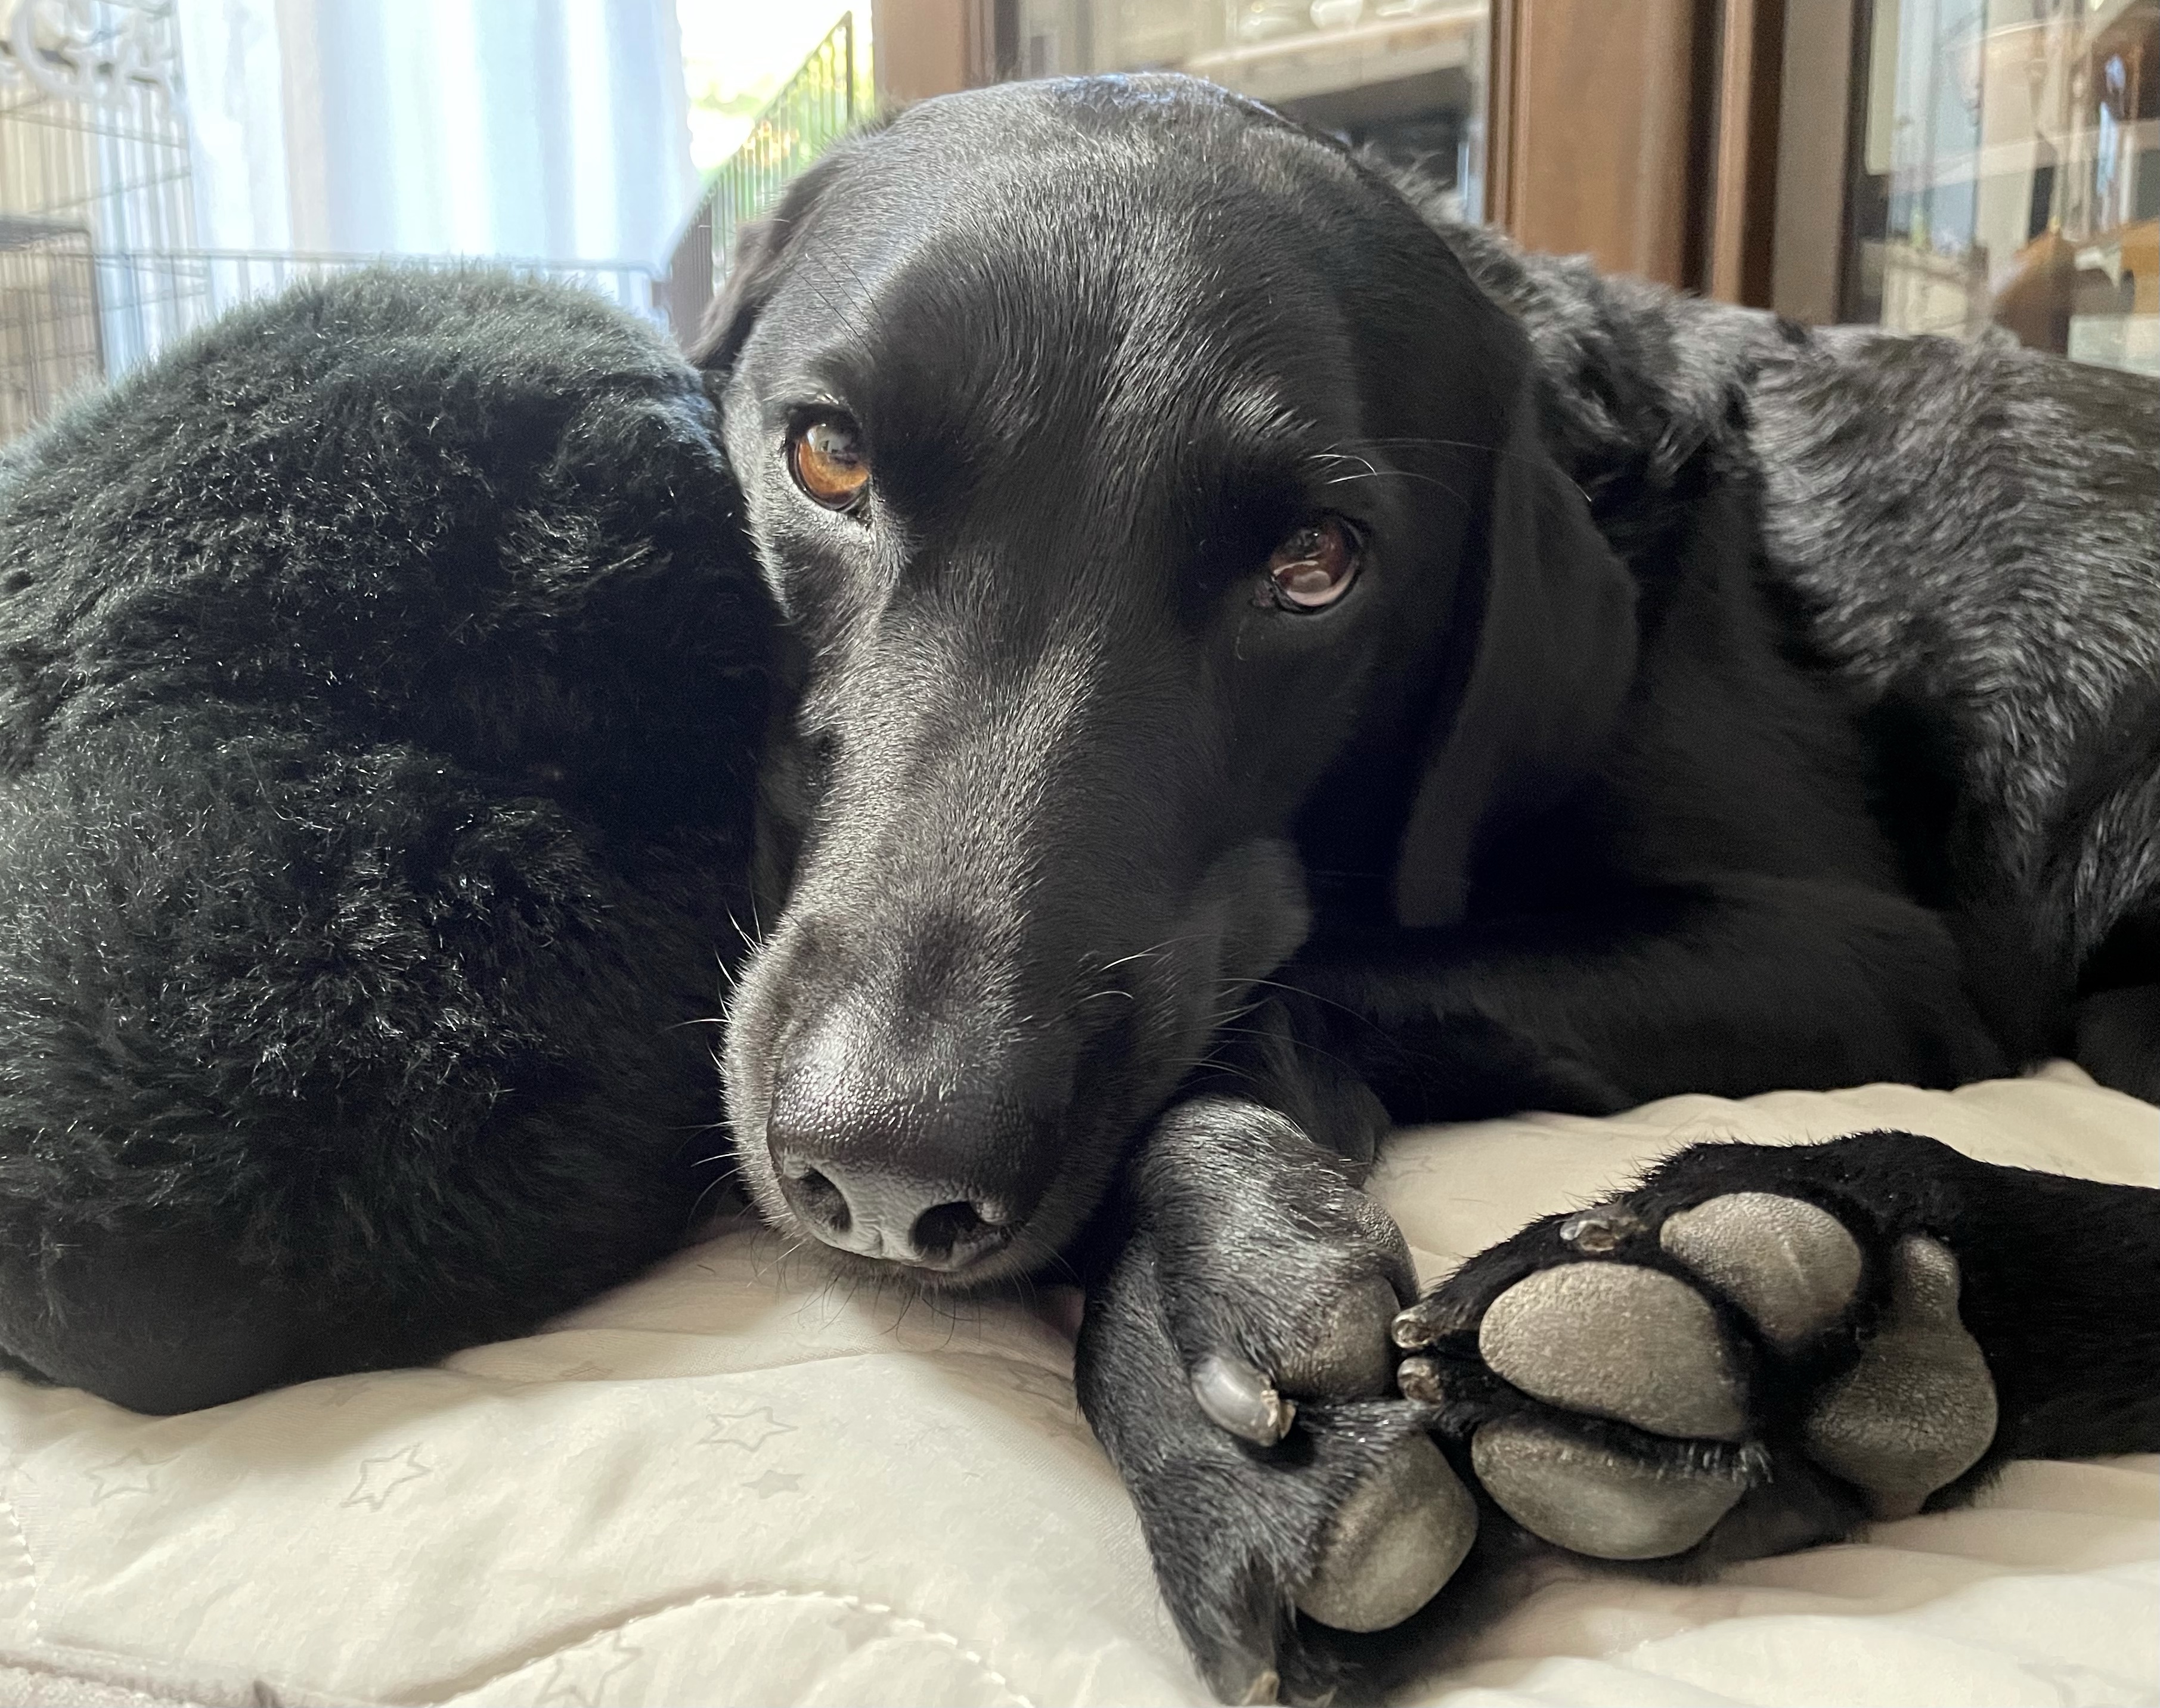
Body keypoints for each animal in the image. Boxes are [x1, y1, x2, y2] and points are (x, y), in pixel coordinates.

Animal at [0, 72, 2154, 1708]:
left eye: (1313, 564)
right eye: (825, 459)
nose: (880, 1162)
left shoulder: (1855, 947)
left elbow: (1316, 966)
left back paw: (1806, 1294)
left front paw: (1207, 1315)